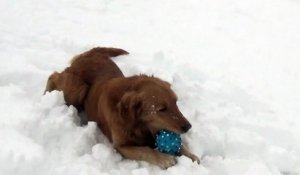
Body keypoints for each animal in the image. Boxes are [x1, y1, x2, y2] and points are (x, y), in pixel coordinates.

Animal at [44, 46, 199, 168]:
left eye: (176, 102)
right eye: (162, 109)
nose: (188, 127)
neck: (138, 124)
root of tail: (90, 53)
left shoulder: (156, 127)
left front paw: (190, 155)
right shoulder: (121, 146)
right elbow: (145, 150)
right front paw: (164, 159)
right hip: (77, 90)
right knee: (53, 76)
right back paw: (46, 93)